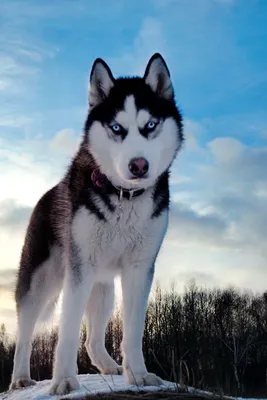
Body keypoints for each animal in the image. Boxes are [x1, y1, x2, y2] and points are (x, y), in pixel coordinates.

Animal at [8, 52, 184, 394]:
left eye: (150, 125)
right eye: (116, 127)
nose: (139, 165)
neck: (123, 196)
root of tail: (45, 195)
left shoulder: (139, 268)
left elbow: (132, 331)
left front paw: (138, 375)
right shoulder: (79, 270)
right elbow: (66, 332)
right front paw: (64, 379)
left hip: (102, 289)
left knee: (91, 339)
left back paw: (108, 365)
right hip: (41, 281)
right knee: (25, 333)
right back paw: (20, 377)